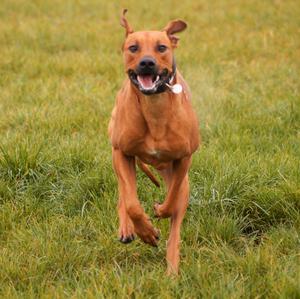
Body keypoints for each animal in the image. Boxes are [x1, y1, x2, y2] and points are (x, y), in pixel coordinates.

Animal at [108, 9, 199, 276]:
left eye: (161, 47)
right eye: (133, 47)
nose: (147, 62)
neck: (154, 107)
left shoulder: (185, 158)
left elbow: (172, 199)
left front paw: (159, 210)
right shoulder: (121, 152)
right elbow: (132, 203)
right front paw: (146, 232)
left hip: (180, 179)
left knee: (175, 228)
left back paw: (172, 271)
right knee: (124, 193)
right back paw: (127, 228)